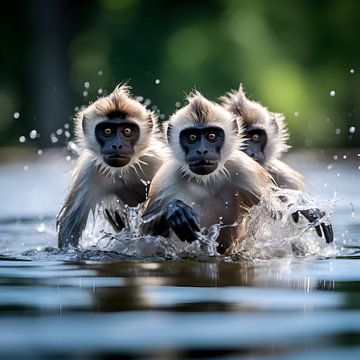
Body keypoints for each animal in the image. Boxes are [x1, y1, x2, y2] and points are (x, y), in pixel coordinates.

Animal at [57, 83, 163, 248]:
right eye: (107, 131)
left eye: (127, 131)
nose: (117, 145)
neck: (124, 171)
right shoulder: (89, 171)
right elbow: (68, 229)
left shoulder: (155, 159)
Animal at [138, 92, 282, 256]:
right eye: (192, 137)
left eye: (211, 136)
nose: (201, 150)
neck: (205, 181)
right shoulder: (167, 177)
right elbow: (142, 234)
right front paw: (175, 210)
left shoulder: (243, 169)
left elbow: (278, 214)